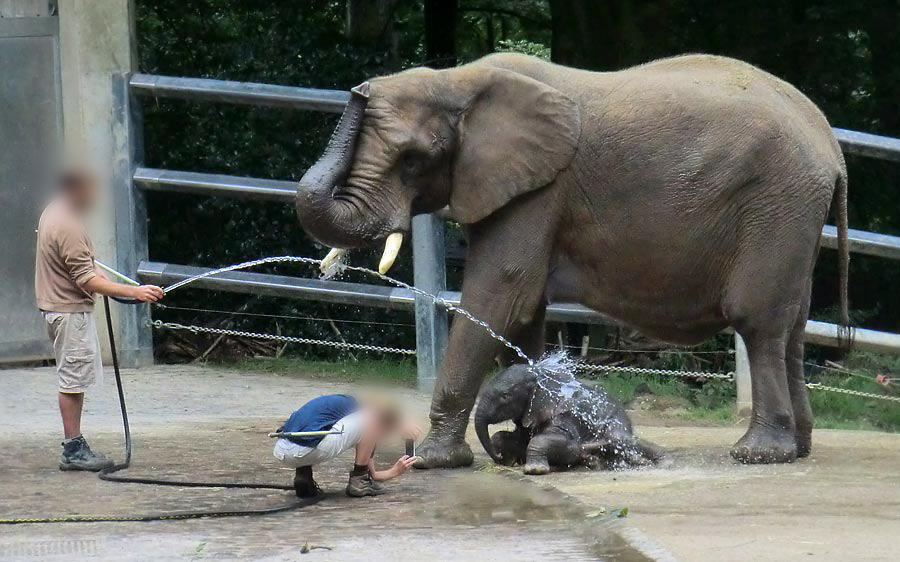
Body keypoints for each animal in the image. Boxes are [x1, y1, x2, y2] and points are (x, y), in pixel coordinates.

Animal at [478, 360, 660, 470]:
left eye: (505, 396)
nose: (498, 458)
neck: (539, 375)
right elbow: (512, 437)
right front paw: (508, 459)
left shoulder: (566, 415)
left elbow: (557, 440)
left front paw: (535, 469)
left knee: (619, 439)